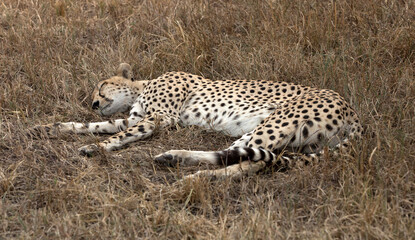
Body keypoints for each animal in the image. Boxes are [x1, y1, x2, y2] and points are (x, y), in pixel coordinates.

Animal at [33, 62, 364, 179]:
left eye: (101, 86)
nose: (94, 103)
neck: (142, 86)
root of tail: (353, 111)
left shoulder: (161, 118)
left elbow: (114, 136)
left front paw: (97, 149)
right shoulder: (133, 119)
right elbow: (92, 127)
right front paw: (49, 128)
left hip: (276, 122)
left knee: (249, 161)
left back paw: (194, 176)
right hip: (284, 137)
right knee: (243, 156)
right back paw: (177, 160)